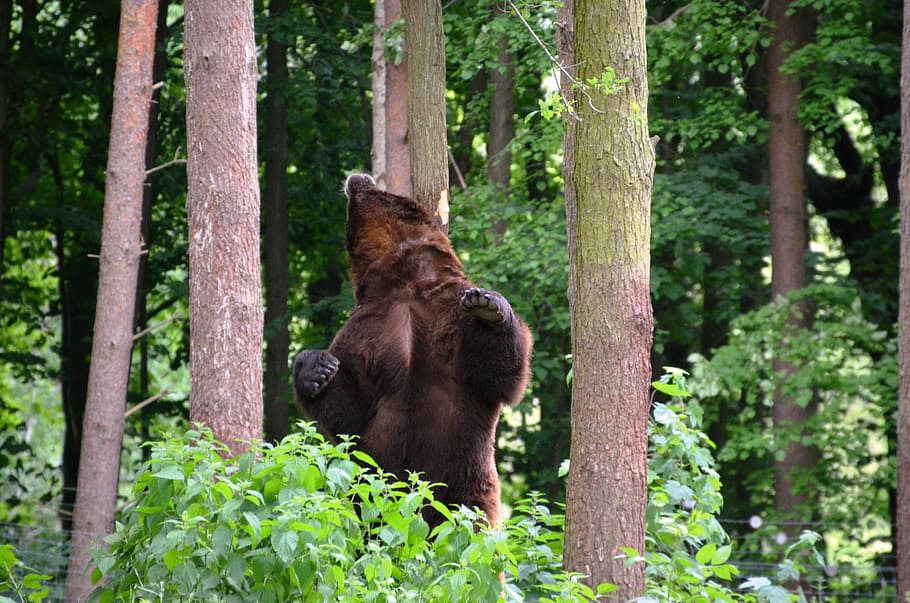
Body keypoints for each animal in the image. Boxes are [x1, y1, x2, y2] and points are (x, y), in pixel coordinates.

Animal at [293, 173, 532, 527]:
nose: (356, 177)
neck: (406, 277)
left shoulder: (450, 312)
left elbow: (498, 375)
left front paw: (489, 306)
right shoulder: (368, 329)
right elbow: (351, 408)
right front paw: (315, 368)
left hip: (465, 479)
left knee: (466, 520)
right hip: (368, 488)